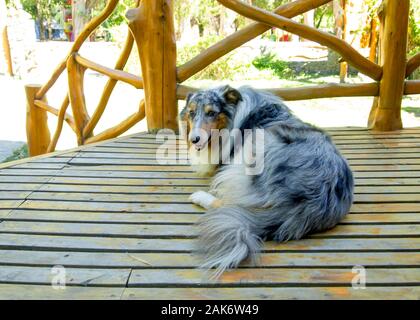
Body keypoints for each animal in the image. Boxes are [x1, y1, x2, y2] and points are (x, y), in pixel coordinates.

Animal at [180, 85, 354, 278]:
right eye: (191, 113)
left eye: (211, 113)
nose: (194, 139)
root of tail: (313, 200)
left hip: (256, 147)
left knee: (227, 203)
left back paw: (200, 197)